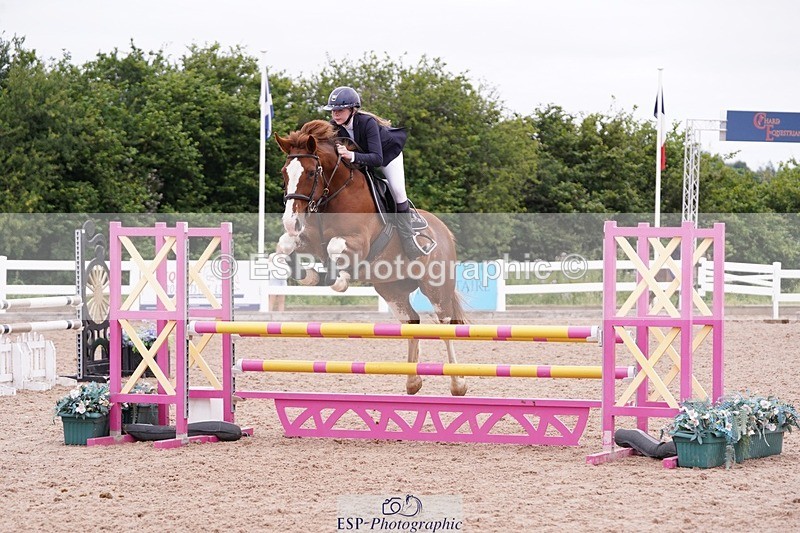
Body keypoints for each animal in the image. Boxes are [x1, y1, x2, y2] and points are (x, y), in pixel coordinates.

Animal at [274, 119, 468, 396]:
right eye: (284, 173)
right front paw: (309, 276)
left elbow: (334, 247)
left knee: (445, 324)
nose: (291, 222)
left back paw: (458, 383)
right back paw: (413, 381)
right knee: (412, 321)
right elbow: (284, 246)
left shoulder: (358, 242)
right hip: (392, 289)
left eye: (311, 173)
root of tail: (444, 231)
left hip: (436, 286)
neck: (334, 194)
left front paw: (338, 279)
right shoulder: (308, 239)